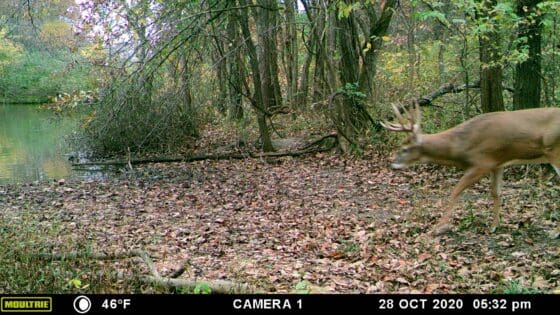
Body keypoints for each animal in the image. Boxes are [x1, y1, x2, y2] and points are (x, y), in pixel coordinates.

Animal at [380, 102, 560, 236]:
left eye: (404, 149)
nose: (392, 165)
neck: (461, 146)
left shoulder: (481, 163)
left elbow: (455, 191)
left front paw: (438, 228)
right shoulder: (497, 164)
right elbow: (496, 193)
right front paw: (494, 226)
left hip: (554, 152)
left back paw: (555, 232)